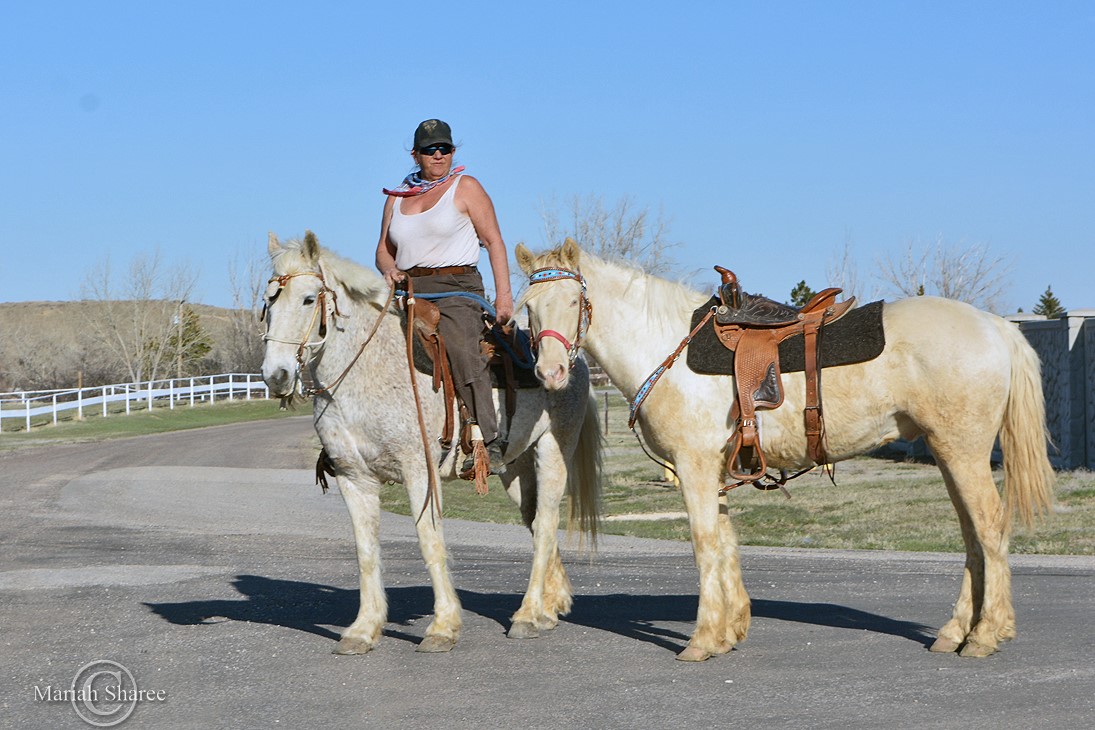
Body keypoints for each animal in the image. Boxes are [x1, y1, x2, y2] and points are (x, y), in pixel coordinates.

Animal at [263, 233, 604, 652]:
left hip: (554, 452)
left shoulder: (419, 472)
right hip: (516, 469)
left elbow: (430, 542)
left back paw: (528, 615)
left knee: (546, 522)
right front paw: (363, 629)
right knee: (537, 521)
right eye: (269, 301)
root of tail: (574, 359)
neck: (364, 371)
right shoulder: (353, 478)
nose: (275, 375)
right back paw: (549, 606)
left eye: (309, 299)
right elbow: (365, 551)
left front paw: (443, 626)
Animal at [516, 238, 1055, 661]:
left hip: (963, 452)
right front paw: (728, 632)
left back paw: (985, 635)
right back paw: (956, 632)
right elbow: (726, 544)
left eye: (573, 300)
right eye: (528, 305)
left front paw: (702, 640)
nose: (550, 373)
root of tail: (996, 326)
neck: (667, 345)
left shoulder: (693, 466)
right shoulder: (717, 470)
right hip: (950, 454)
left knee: (989, 528)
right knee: (972, 536)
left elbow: (704, 544)